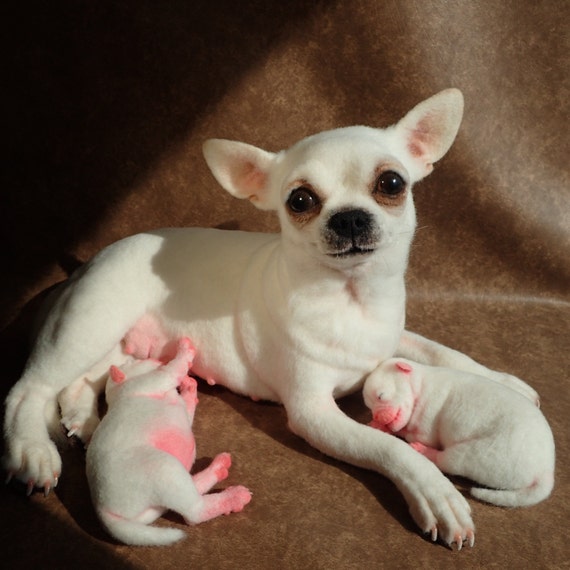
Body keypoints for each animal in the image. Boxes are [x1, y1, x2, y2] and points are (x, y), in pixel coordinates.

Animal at [70, 340, 248, 544]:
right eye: (136, 362)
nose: (156, 358)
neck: (117, 393)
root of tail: (104, 512)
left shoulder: (180, 410)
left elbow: (187, 410)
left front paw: (189, 387)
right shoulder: (149, 382)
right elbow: (171, 371)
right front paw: (185, 351)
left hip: (156, 503)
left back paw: (218, 468)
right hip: (163, 468)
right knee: (193, 513)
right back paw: (234, 496)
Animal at [362, 360, 552, 510]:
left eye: (380, 396)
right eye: (370, 407)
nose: (376, 417)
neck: (420, 383)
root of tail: (545, 471)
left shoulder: (427, 419)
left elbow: (414, 433)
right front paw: (378, 425)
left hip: (482, 455)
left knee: (449, 461)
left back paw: (424, 451)